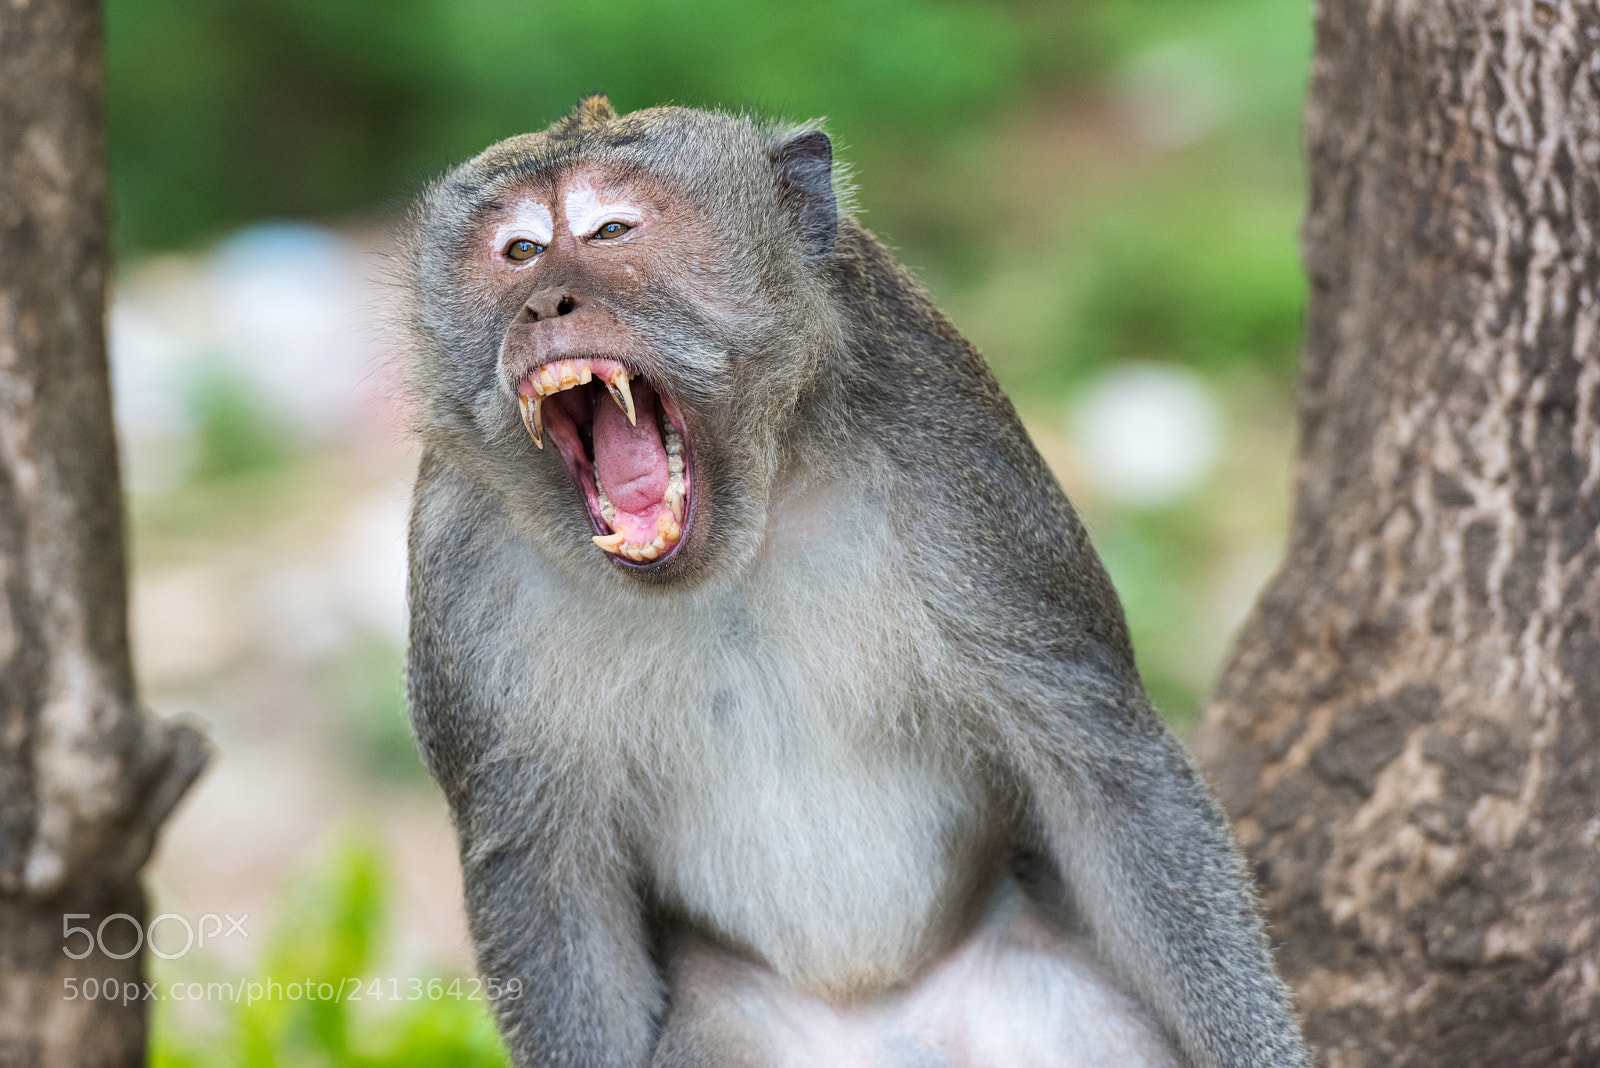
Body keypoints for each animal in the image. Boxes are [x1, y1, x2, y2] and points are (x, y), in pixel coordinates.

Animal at [402, 95, 1309, 1068]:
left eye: (611, 230)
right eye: (519, 251)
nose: (544, 302)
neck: (738, 536)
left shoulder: (955, 456)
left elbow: (1105, 767)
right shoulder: (459, 565)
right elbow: (544, 880)